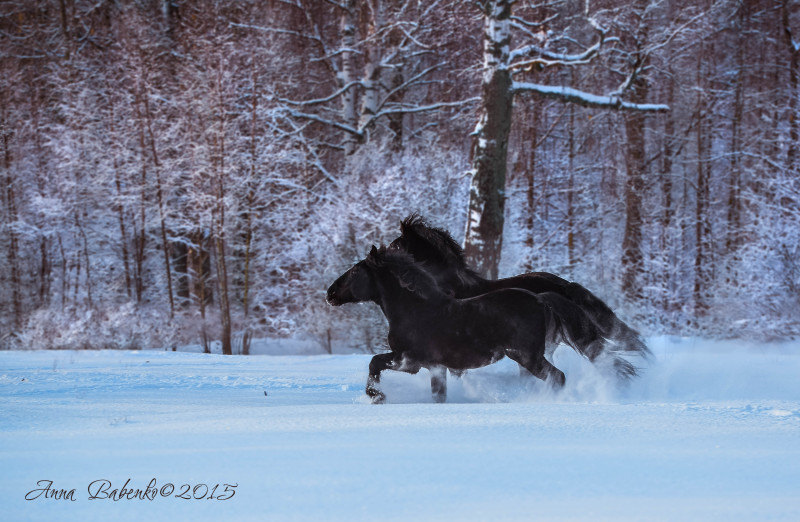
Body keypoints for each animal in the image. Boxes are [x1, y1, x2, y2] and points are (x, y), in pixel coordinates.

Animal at [328, 245, 616, 402]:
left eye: (355, 271)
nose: (330, 293)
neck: (414, 310)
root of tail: (540, 298)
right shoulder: (436, 367)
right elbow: (439, 397)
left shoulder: (409, 361)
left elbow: (374, 362)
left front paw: (377, 396)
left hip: (527, 356)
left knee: (558, 377)